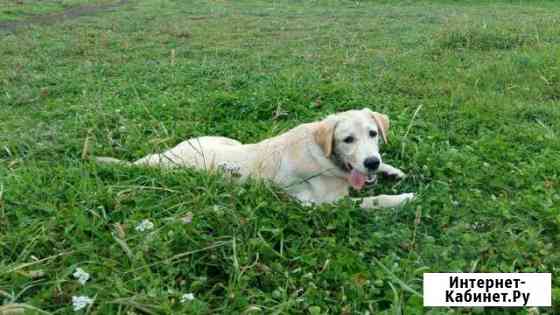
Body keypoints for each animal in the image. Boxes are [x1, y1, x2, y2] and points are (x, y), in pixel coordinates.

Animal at [94, 108, 414, 210]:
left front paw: (391, 170)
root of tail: (162, 157)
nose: (371, 163)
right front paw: (403, 198)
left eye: (373, 134)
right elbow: (373, 200)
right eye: (348, 140)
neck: (329, 160)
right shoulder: (320, 206)